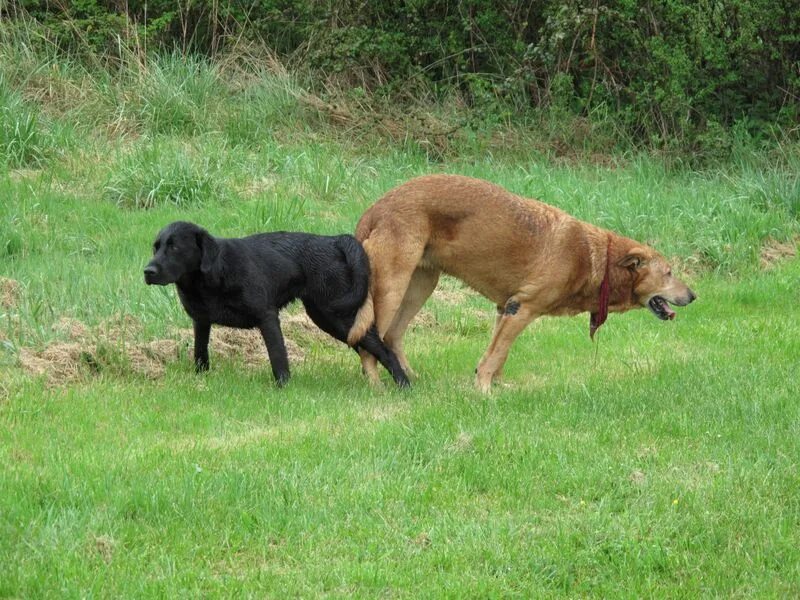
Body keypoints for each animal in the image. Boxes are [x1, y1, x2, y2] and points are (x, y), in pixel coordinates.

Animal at [141, 221, 410, 390]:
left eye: (175, 247)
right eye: (156, 246)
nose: (148, 271)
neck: (214, 274)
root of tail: (333, 241)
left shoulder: (267, 317)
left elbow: (278, 357)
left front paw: (283, 387)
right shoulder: (201, 321)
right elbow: (200, 353)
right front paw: (201, 380)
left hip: (338, 316)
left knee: (384, 349)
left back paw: (404, 386)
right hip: (329, 318)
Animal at [350, 173, 692, 392]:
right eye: (668, 272)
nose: (693, 296)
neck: (599, 259)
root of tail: (375, 210)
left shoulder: (505, 309)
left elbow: (494, 355)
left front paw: (497, 386)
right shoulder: (522, 309)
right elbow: (496, 355)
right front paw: (484, 392)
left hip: (419, 285)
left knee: (392, 337)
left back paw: (411, 379)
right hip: (392, 288)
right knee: (369, 341)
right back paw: (376, 386)